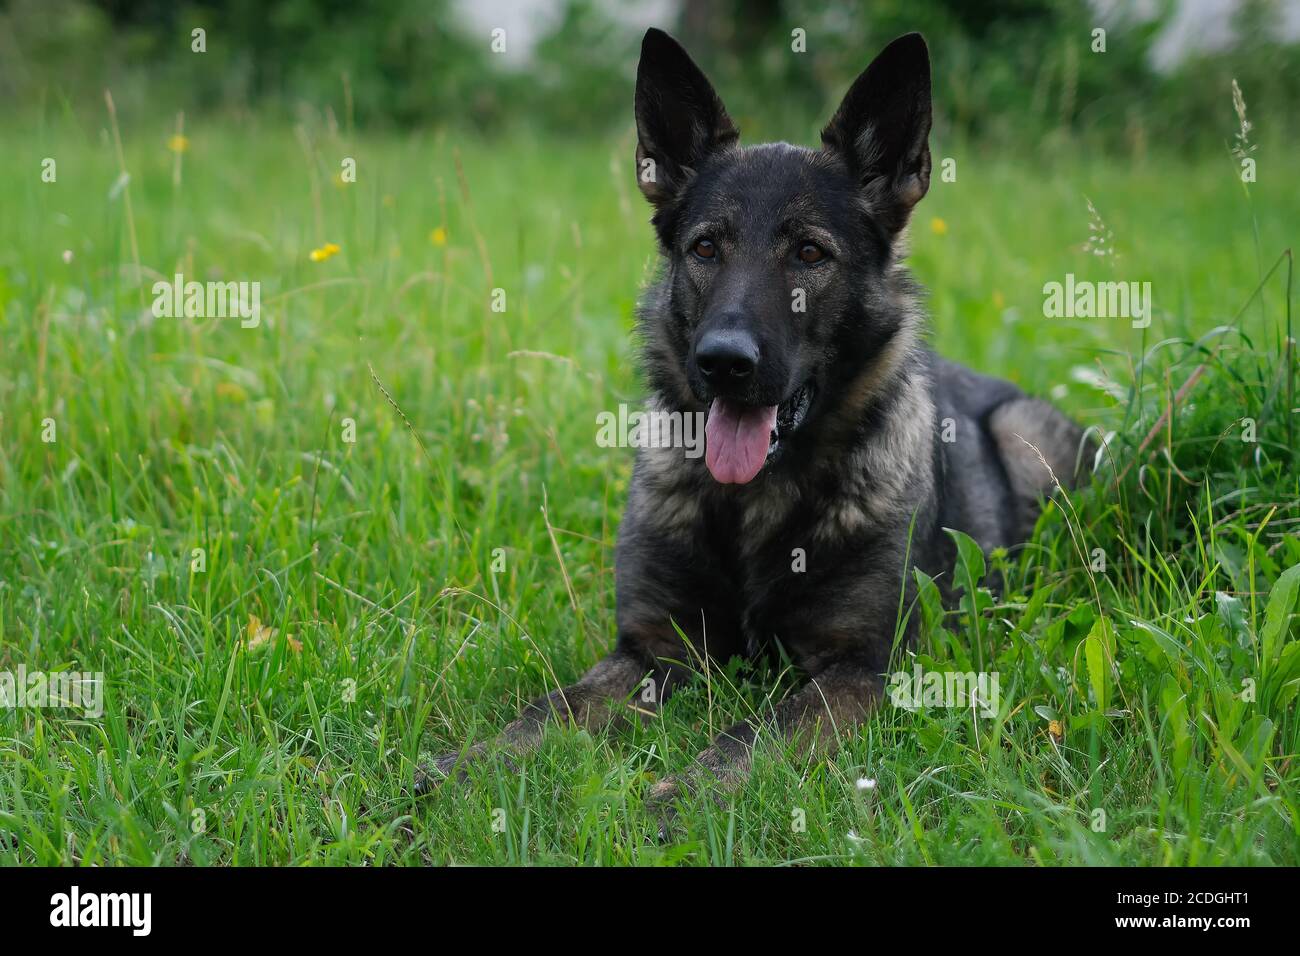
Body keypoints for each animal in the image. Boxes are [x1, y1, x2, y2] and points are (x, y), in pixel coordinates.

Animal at [421, 27, 1092, 806]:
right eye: (706, 247)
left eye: (809, 252)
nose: (723, 362)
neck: (759, 499)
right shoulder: (652, 649)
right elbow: (552, 708)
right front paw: (469, 766)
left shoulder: (860, 668)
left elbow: (760, 733)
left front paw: (685, 800)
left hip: (1023, 436)